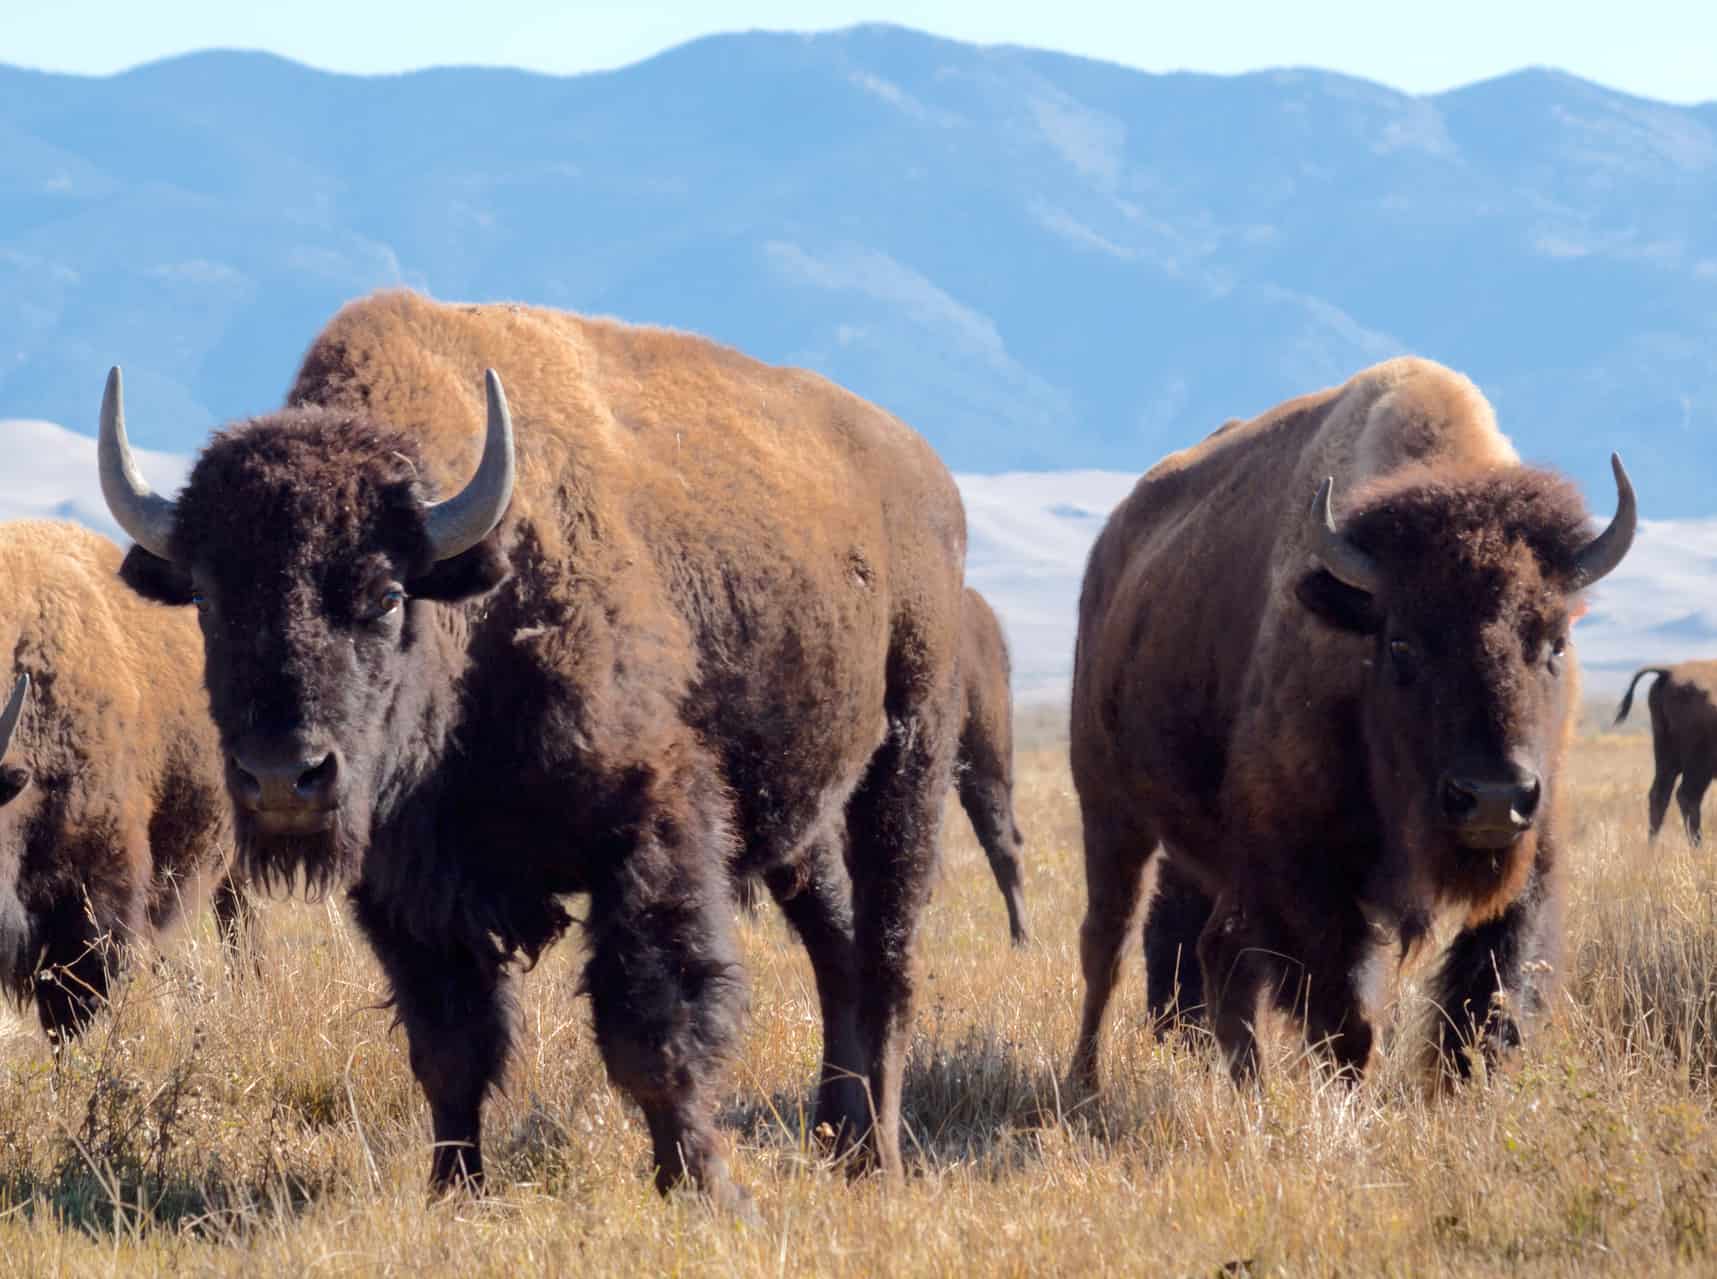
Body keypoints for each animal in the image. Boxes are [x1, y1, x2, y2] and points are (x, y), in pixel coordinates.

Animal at [100, 290, 966, 1210]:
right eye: (206, 597)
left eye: (385, 593)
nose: (280, 780)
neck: (477, 607)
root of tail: (926, 474)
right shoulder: (409, 889)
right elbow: (450, 1047)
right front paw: (454, 1189)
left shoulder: (653, 830)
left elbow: (653, 1023)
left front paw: (703, 1185)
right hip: (803, 817)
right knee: (834, 945)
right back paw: (838, 1138)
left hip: (908, 757)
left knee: (886, 959)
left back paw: (879, 1155)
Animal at [1069, 357, 1635, 1089]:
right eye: (1401, 645)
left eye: (1555, 642)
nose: (1491, 799)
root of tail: (1112, 548)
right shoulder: (1308, 879)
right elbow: (1348, 1021)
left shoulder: (1530, 861)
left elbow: (1485, 1009)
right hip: (1109, 808)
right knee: (1106, 946)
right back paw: (1083, 1082)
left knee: (1209, 947)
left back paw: (1242, 1081)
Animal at [1614, 663, 1717, 845]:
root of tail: (1670, 671)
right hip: (1699, 763)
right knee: (1687, 796)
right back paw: (1697, 847)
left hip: (1665, 754)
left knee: (1660, 795)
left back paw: (1650, 849)